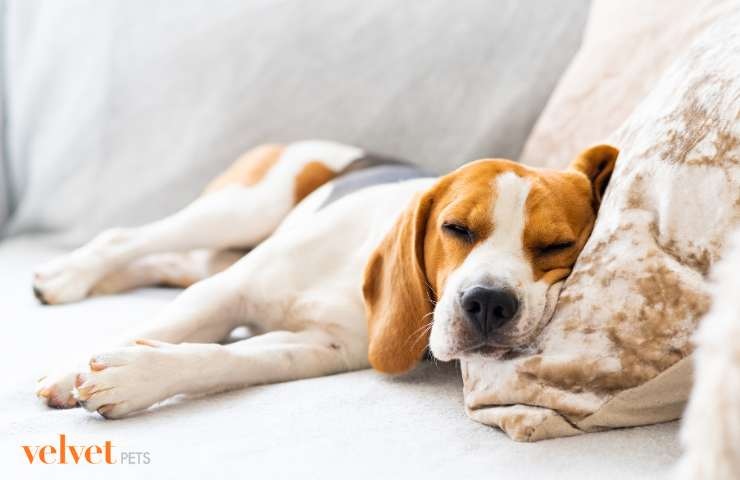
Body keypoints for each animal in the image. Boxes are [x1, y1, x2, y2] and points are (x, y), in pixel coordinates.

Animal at [33, 139, 620, 416]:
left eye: (557, 247)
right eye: (456, 228)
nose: (489, 304)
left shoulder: (322, 347)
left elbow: (225, 357)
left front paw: (137, 375)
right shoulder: (225, 292)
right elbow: (168, 329)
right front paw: (69, 372)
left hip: (218, 248)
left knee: (161, 262)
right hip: (243, 208)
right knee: (124, 239)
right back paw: (66, 276)